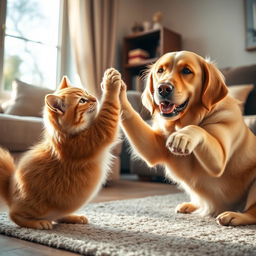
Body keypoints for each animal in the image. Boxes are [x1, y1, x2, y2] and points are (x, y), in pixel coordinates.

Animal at [0, 67, 121, 229]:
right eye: (82, 101)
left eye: (86, 93)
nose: (95, 98)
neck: (68, 134)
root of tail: (9, 189)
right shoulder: (100, 131)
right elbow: (109, 106)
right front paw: (111, 83)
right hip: (35, 207)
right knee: (14, 215)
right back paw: (37, 223)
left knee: (57, 217)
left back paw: (73, 217)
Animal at [117, 50, 256, 226]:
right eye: (160, 70)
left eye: (186, 71)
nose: (163, 88)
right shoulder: (153, 148)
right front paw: (117, 87)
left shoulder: (220, 160)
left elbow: (197, 129)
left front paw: (182, 136)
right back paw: (191, 205)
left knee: (252, 212)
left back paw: (234, 216)